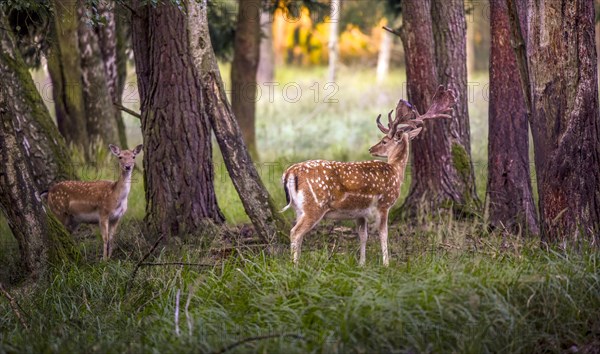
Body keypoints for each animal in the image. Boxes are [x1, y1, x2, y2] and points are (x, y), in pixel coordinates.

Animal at [282, 86, 454, 266]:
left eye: (384, 141)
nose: (371, 149)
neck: (395, 171)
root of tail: (290, 172)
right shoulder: (384, 204)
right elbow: (383, 234)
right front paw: (386, 264)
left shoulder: (360, 213)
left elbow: (363, 236)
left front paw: (361, 263)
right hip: (315, 205)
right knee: (295, 232)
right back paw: (295, 265)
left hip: (299, 208)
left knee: (297, 233)